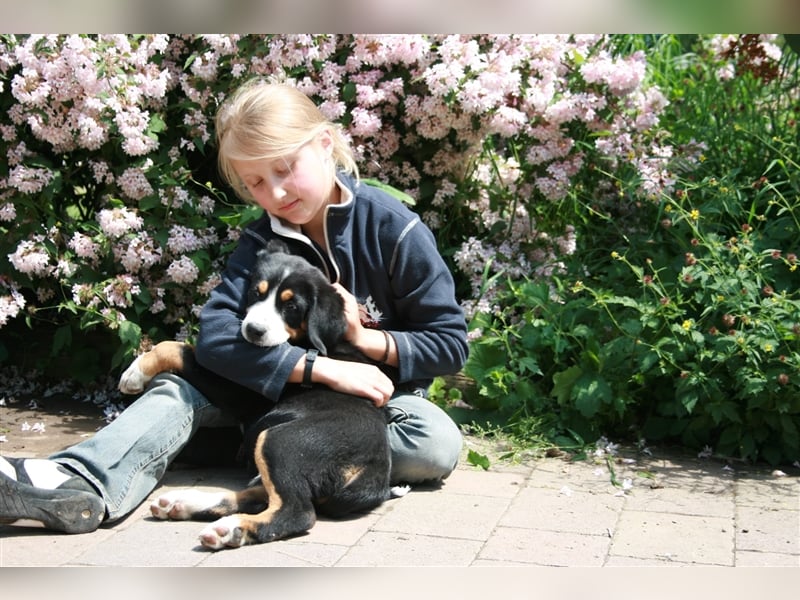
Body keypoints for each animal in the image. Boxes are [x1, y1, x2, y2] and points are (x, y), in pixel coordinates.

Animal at [119, 239, 396, 548]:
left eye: (291, 306)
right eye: (256, 292)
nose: (254, 330)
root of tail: (374, 471)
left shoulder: (240, 390)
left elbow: (177, 348)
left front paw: (134, 373)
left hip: (281, 441)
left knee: (296, 512)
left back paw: (232, 529)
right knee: (259, 495)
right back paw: (184, 504)